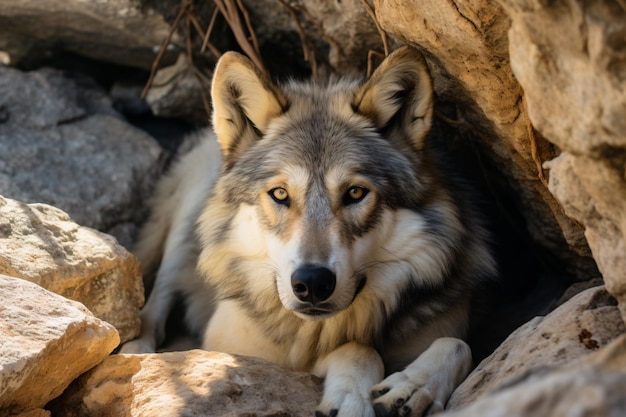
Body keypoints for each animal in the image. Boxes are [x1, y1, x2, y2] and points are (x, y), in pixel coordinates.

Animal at [119, 46, 494, 416]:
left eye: (355, 193)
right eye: (280, 194)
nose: (312, 282)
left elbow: (458, 344)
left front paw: (412, 385)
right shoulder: (232, 345)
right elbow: (358, 348)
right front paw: (353, 399)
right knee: (157, 299)